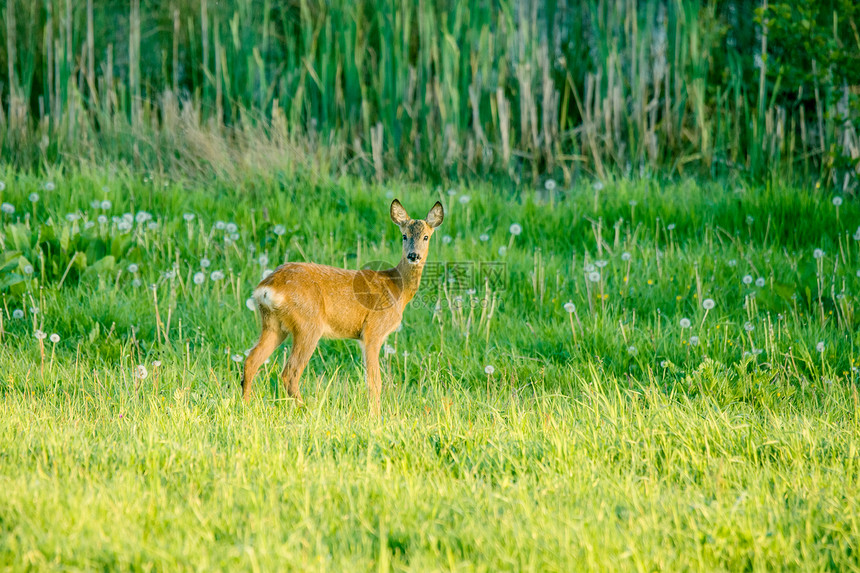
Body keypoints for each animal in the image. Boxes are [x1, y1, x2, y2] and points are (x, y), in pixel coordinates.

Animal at [242, 199, 444, 414]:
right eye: (404, 235)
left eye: (426, 236)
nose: (414, 256)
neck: (397, 288)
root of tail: (267, 288)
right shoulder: (373, 331)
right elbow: (374, 382)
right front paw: (375, 415)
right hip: (308, 324)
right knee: (290, 372)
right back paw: (307, 409)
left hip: (273, 324)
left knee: (251, 360)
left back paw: (246, 404)